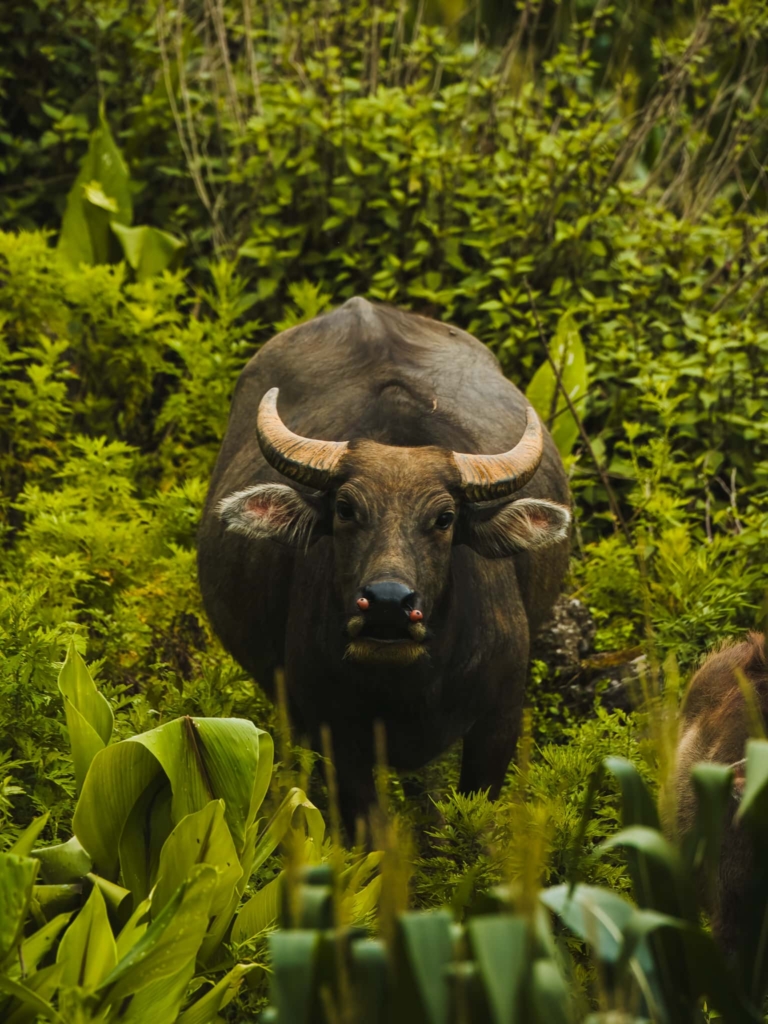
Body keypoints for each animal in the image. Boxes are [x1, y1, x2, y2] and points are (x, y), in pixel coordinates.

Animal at [198, 297, 571, 829]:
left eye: (444, 518)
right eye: (345, 509)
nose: (388, 604)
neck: (407, 687)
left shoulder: (499, 722)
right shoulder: (334, 732)